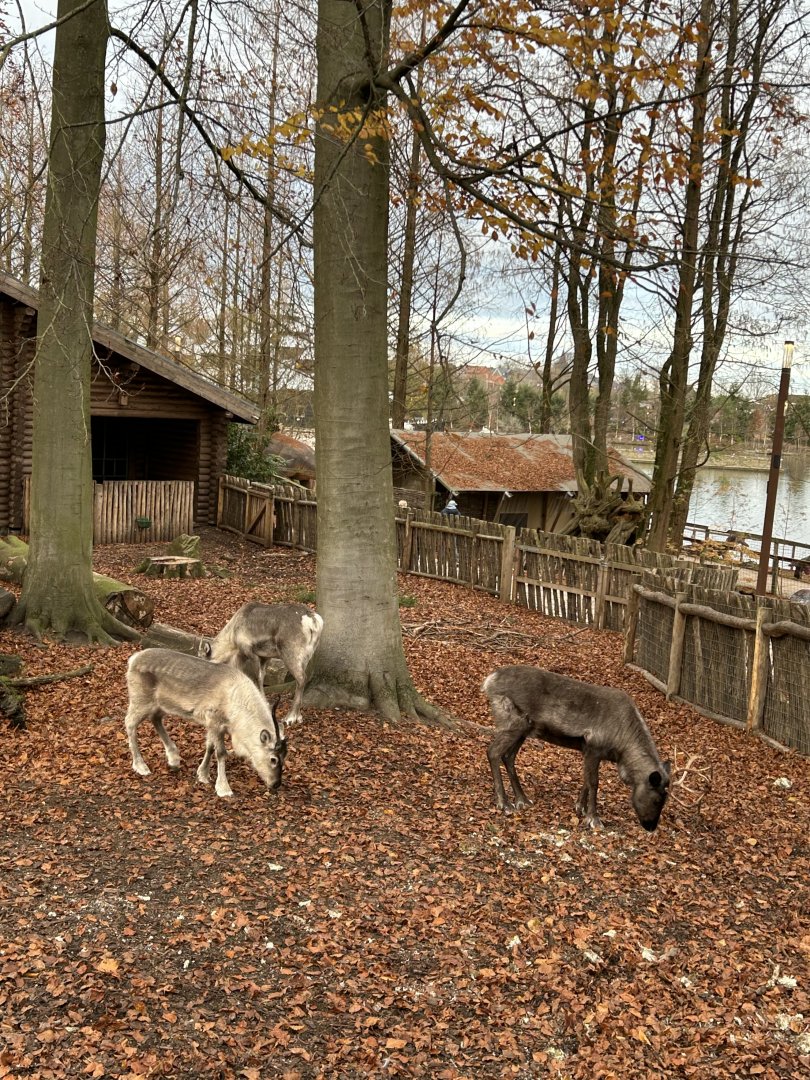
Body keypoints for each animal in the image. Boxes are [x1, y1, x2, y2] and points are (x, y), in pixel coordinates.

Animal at [125, 648, 287, 798]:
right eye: (273, 759)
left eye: (285, 756)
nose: (276, 784)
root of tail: (133, 659)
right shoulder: (214, 720)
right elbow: (221, 752)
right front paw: (223, 788)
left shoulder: (213, 724)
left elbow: (209, 746)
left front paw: (202, 774)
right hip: (141, 699)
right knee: (130, 723)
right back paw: (141, 766)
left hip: (159, 704)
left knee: (155, 718)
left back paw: (174, 759)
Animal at [483, 665, 671, 831]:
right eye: (657, 800)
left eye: (665, 800)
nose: (650, 827)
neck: (623, 750)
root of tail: (489, 680)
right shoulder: (594, 749)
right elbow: (594, 782)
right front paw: (594, 819)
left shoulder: (588, 751)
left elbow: (586, 780)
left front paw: (580, 807)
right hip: (512, 724)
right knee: (493, 752)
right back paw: (504, 803)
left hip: (525, 729)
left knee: (508, 757)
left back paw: (522, 800)